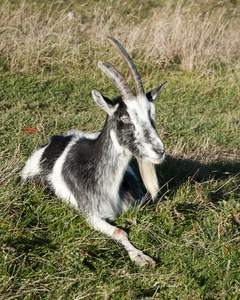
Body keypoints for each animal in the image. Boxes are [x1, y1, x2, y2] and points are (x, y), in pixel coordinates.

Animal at [21, 37, 166, 268]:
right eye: (125, 117)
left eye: (151, 113)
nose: (159, 151)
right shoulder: (87, 213)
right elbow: (119, 231)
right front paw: (140, 257)